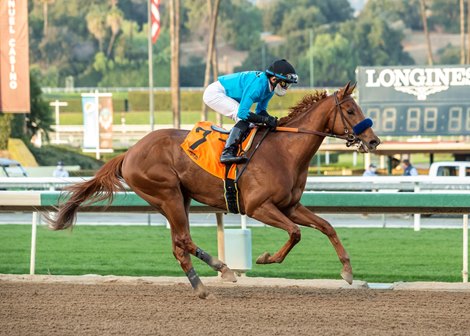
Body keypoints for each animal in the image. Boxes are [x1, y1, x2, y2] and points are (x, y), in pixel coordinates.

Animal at [47, 82, 380, 298]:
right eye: (350, 110)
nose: (374, 140)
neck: (285, 151)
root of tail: (128, 152)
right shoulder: (258, 207)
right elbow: (295, 233)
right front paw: (264, 258)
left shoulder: (290, 206)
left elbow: (327, 226)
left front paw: (348, 271)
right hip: (167, 193)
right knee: (183, 239)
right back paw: (224, 269)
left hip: (178, 198)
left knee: (178, 245)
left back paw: (201, 285)